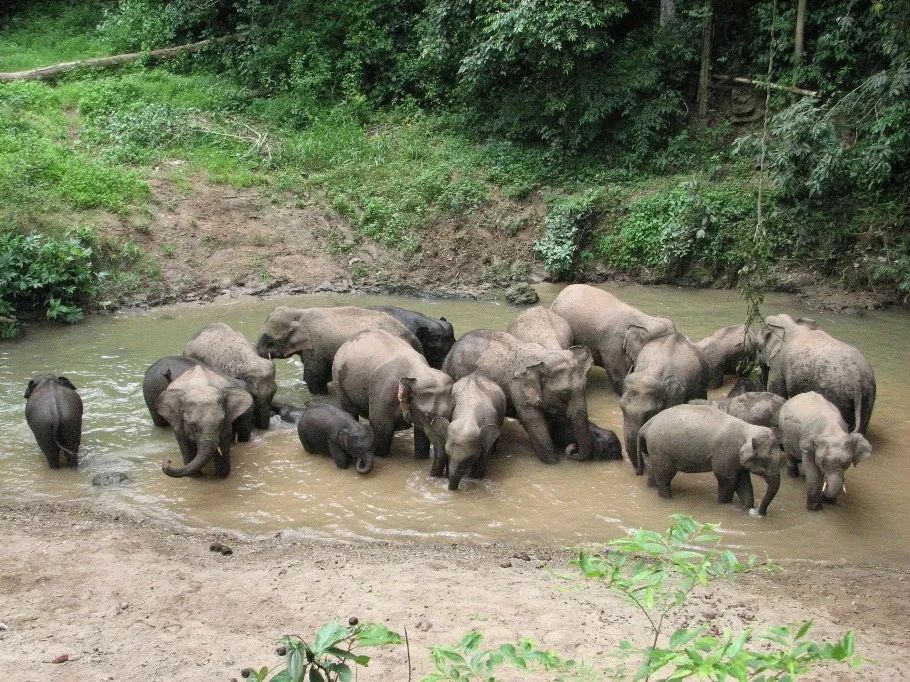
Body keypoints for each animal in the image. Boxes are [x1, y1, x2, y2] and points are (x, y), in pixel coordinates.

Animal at [444, 328, 600, 462]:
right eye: (564, 394)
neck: (544, 356)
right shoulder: (518, 386)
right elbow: (534, 421)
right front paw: (553, 461)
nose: (573, 449)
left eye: (585, 387)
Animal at [640, 404, 784, 510]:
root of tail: (646, 426)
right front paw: (724, 504)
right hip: (661, 451)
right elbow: (727, 481)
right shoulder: (725, 453)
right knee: (664, 476)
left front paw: (746, 508)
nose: (759, 512)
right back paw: (667, 498)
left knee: (653, 470)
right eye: (765, 460)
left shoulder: (736, 460)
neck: (748, 428)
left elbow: (744, 482)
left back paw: (652, 487)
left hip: (652, 451)